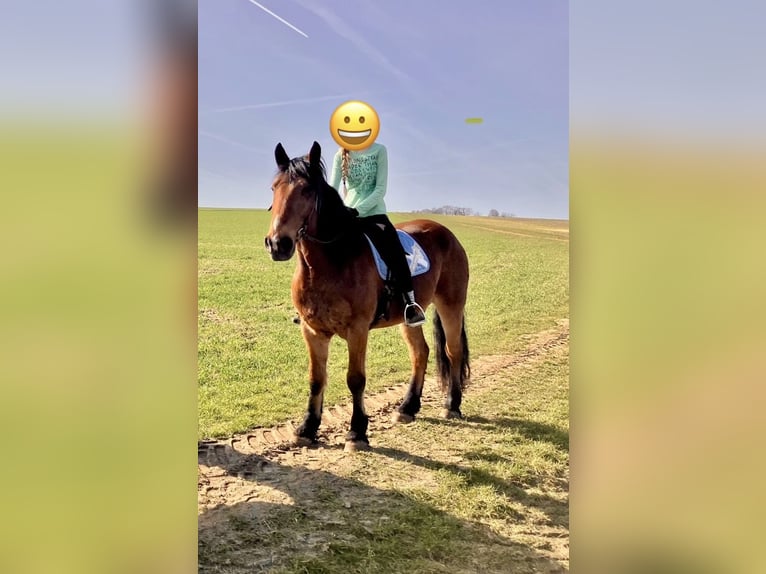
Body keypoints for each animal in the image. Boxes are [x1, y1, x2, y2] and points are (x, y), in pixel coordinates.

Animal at [265, 141, 470, 452]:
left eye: (307, 191)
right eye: (274, 187)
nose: (278, 244)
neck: (331, 261)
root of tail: (448, 234)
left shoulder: (357, 330)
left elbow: (355, 379)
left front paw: (357, 432)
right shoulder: (313, 331)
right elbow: (316, 379)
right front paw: (307, 428)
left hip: (451, 306)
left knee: (452, 351)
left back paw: (452, 405)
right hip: (410, 316)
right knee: (420, 353)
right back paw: (408, 408)